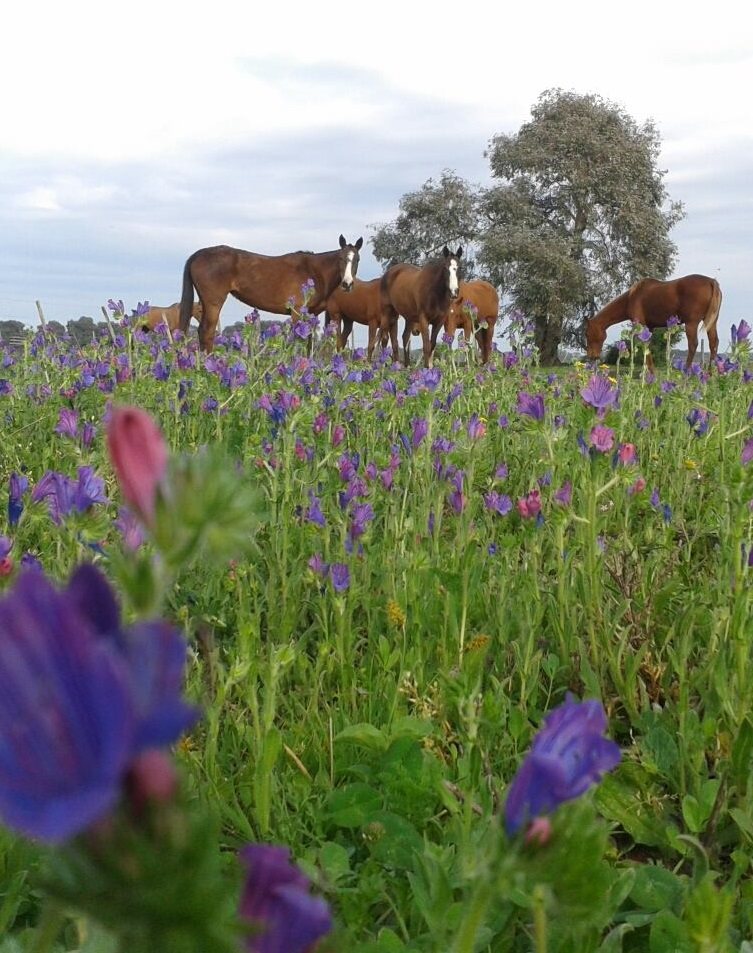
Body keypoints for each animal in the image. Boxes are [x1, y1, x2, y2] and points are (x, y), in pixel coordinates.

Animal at [179, 235, 363, 352]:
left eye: (357, 260)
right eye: (340, 259)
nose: (347, 284)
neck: (314, 271)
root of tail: (198, 255)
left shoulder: (310, 315)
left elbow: (308, 344)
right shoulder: (297, 312)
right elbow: (296, 341)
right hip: (214, 303)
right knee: (207, 332)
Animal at [585, 275, 722, 369]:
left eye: (587, 334)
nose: (592, 356)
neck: (631, 297)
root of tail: (711, 281)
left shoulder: (641, 326)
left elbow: (646, 349)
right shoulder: (650, 328)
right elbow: (648, 349)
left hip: (691, 323)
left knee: (693, 345)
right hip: (712, 323)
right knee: (713, 343)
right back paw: (710, 374)